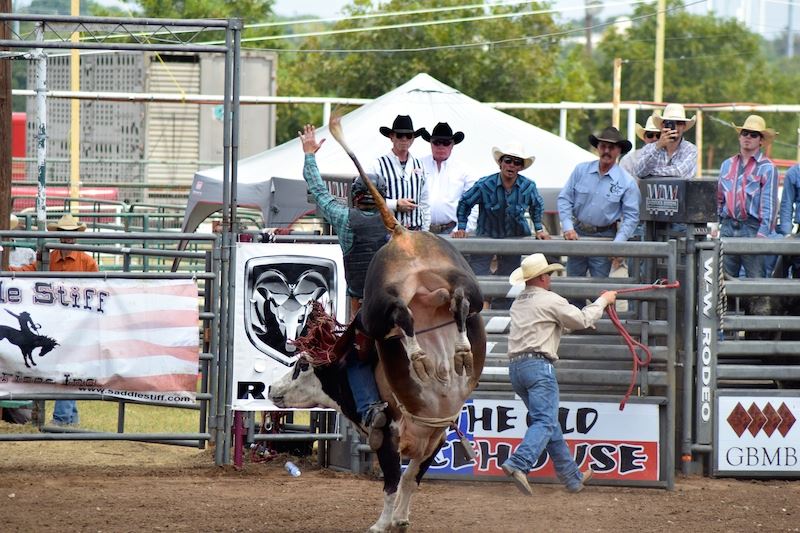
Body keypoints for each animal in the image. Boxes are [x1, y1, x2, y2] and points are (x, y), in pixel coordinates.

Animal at [268, 114, 488, 528]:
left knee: (400, 315)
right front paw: (399, 520)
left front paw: (383, 523)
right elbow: (410, 479)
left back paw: (421, 357)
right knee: (459, 303)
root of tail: (401, 234)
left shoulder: (388, 434)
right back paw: (458, 351)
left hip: (377, 308)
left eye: (301, 365)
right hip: (464, 284)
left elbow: (393, 481)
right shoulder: (431, 439)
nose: (272, 389)